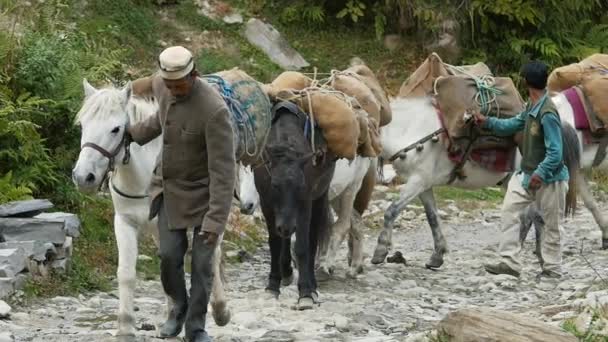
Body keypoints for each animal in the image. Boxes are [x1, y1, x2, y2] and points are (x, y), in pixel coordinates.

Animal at [70, 79, 230, 336]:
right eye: (82, 125)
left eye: (116, 129)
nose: (84, 177)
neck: (141, 178)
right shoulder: (125, 222)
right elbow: (128, 272)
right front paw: (126, 326)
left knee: (211, 257)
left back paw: (220, 309)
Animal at [253, 100, 338, 308]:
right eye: (275, 185)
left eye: (300, 186)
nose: (286, 226)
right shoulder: (267, 204)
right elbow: (274, 243)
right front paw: (272, 286)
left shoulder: (305, 202)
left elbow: (302, 246)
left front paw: (305, 293)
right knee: (284, 238)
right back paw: (286, 271)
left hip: (319, 198)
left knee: (312, 240)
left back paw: (312, 286)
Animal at [370, 95, 608, 268]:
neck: (412, 131)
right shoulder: (423, 184)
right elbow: (432, 218)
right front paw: (437, 255)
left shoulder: (418, 181)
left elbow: (391, 211)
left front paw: (380, 251)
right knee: (533, 216)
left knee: (532, 216)